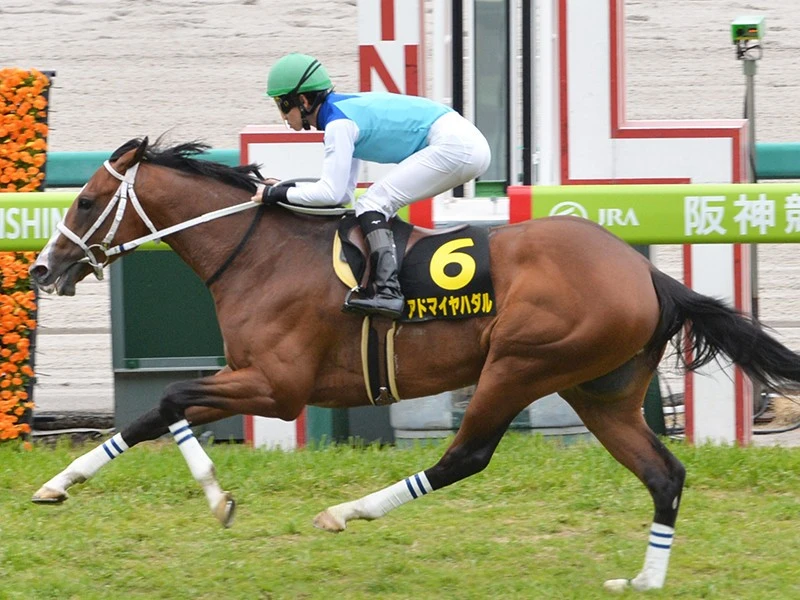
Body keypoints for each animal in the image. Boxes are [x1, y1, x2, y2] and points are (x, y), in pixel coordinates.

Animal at [28, 137, 800, 592]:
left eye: (87, 200)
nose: (41, 269)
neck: (260, 252)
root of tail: (648, 275)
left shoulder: (278, 387)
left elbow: (171, 401)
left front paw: (217, 498)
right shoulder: (257, 379)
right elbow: (157, 412)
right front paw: (58, 486)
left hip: (521, 363)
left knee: (467, 456)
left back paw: (345, 512)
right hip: (598, 391)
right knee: (663, 474)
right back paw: (644, 580)